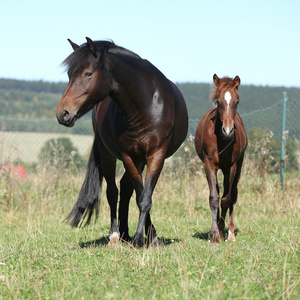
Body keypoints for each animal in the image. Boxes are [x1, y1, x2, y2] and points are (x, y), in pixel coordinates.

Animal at [56, 37, 188, 247]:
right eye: (69, 74)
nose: (63, 113)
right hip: (108, 154)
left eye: (88, 73)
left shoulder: (156, 155)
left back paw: (127, 233)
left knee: (126, 188)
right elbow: (139, 194)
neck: (144, 106)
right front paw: (140, 237)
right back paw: (116, 234)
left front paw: (148, 237)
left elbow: (144, 196)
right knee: (113, 191)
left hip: (140, 159)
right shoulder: (128, 155)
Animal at [195, 74, 248, 245]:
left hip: (236, 167)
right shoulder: (209, 164)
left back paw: (230, 231)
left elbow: (227, 199)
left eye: (237, 101)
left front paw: (222, 229)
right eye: (218, 101)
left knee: (232, 194)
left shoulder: (231, 166)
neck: (222, 140)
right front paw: (215, 235)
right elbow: (214, 198)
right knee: (219, 191)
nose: (228, 131)